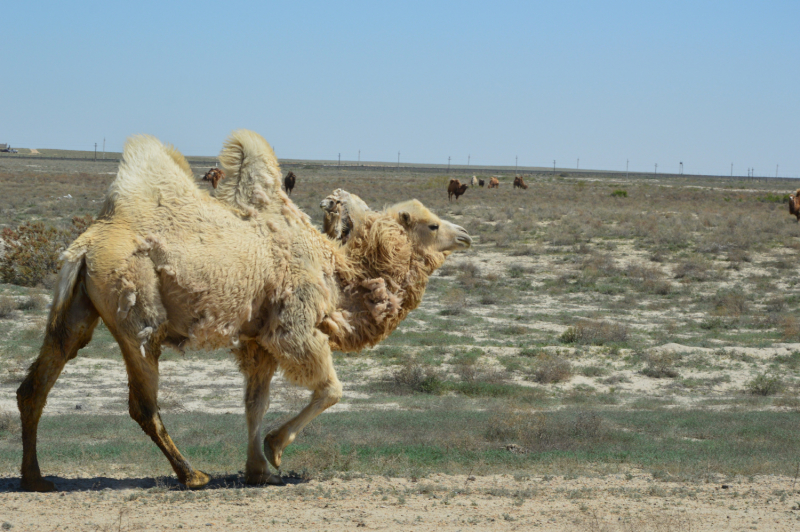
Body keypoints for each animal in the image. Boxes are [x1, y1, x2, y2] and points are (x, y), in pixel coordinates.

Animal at [15, 129, 472, 490]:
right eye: (432, 224)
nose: (466, 236)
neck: (336, 272)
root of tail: (85, 246)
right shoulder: (293, 326)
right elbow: (331, 389)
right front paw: (274, 450)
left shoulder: (257, 340)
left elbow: (256, 401)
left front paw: (257, 469)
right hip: (136, 312)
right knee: (141, 401)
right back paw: (191, 475)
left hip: (77, 308)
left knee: (38, 381)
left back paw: (35, 478)